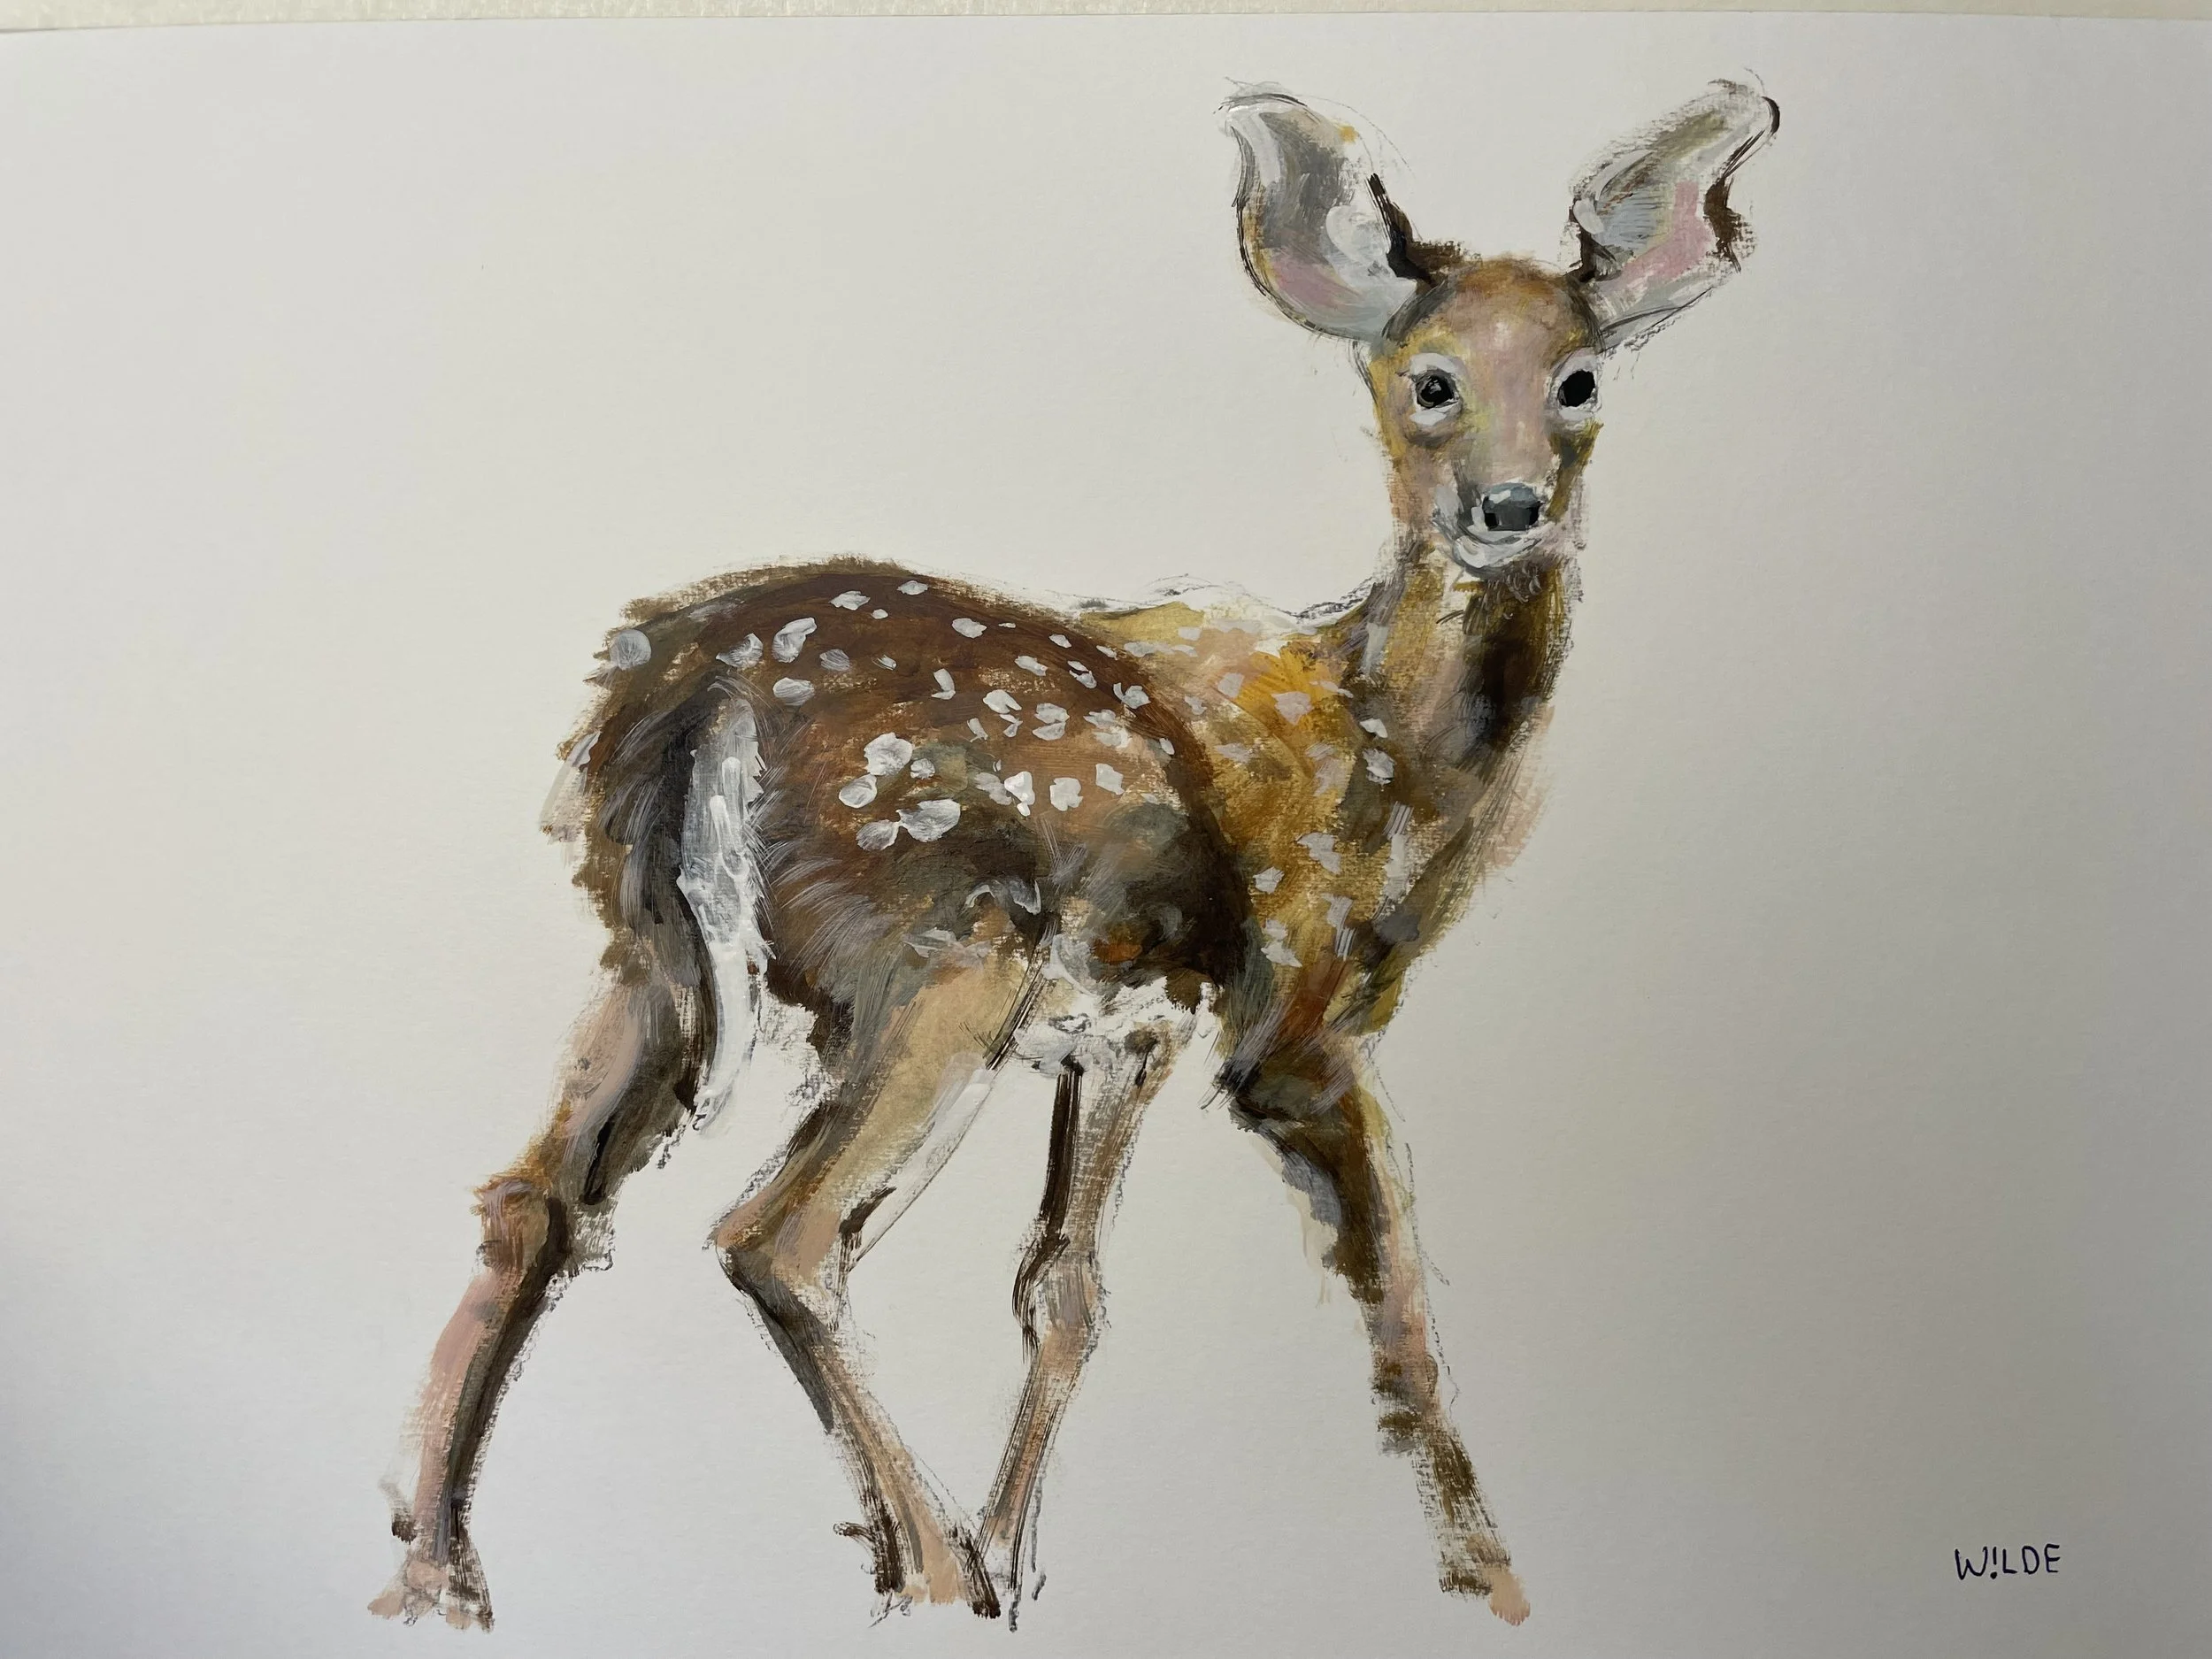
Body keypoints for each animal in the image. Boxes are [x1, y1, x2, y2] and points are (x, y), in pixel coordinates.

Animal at [373, 79, 1778, 1633]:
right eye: (1430, 381)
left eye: (1581, 379)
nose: (1512, 508)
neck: (1389, 758)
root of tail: (690, 684)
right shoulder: (1288, 1024)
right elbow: (1401, 1305)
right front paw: (1486, 1572)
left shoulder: (1121, 1033)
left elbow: (1063, 1290)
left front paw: (1016, 1564)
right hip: (939, 945)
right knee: (778, 1234)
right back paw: (915, 1566)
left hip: (649, 952)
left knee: (536, 1199)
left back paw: (441, 1569)